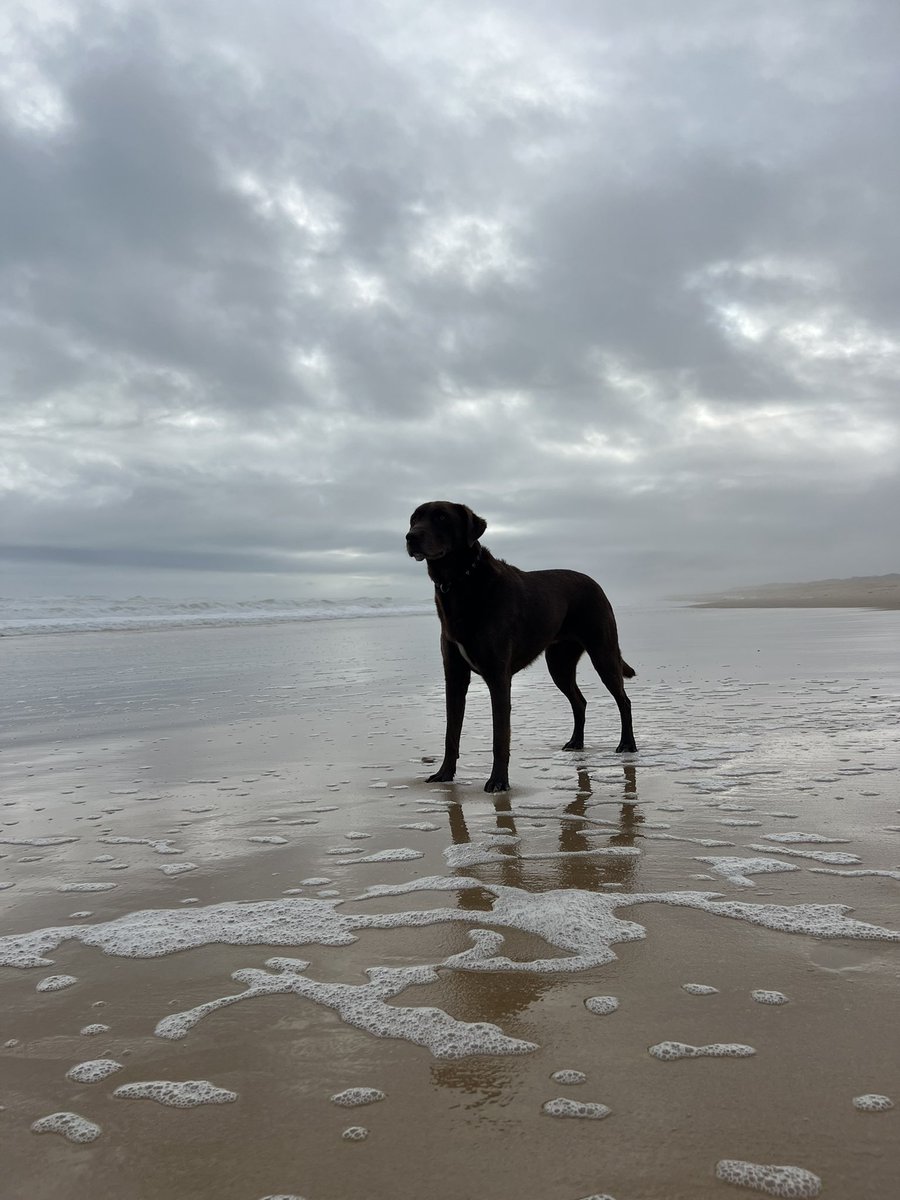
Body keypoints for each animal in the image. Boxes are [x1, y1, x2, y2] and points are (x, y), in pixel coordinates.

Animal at [405, 501, 638, 792]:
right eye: (414, 519)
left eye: (441, 517)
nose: (411, 537)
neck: (459, 581)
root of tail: (595, 584)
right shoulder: (455, 675)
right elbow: (451, 731)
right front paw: (445, 774)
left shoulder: (498, 676)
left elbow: (500, 737)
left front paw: (498, 782)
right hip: (559, 663)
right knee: (580, 701)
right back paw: (576, 742)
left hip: (603, 652)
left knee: (624, 701)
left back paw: (627, 745)